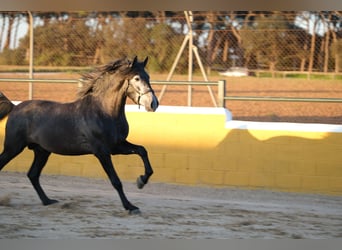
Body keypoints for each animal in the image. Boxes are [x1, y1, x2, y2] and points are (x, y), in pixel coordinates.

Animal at [0, 55, 159, 214]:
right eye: (137, 78)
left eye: (148, 77)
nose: (153, 104)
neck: (103, 111)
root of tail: (15, 108)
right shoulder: (102, 152)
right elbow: (116, 181)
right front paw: (130, 206)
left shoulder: (117, 146)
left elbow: (142, 150)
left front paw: (141, 181)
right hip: (13, 148)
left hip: (42, 151)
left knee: (33, 175)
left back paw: (48, 201)